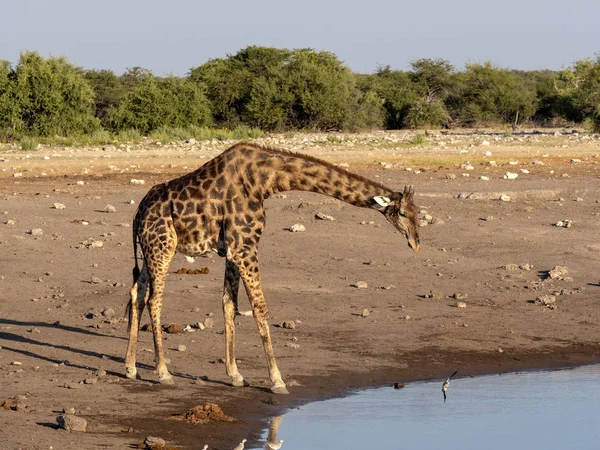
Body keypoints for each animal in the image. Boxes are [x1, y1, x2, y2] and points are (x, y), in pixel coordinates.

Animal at [124, 143, 420, 394]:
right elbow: (260, 308)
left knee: (137, 292)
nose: (416, 243)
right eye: (403, 213)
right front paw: (277, 380)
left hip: (150, 250)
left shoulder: (233, 249)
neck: (264, 182)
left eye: (418, 213)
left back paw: (130, 367)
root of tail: (139, 212)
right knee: (154, 299)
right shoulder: (245, 247)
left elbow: (229, 304)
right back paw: (163, 372)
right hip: (162, 247)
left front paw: (235, 375)